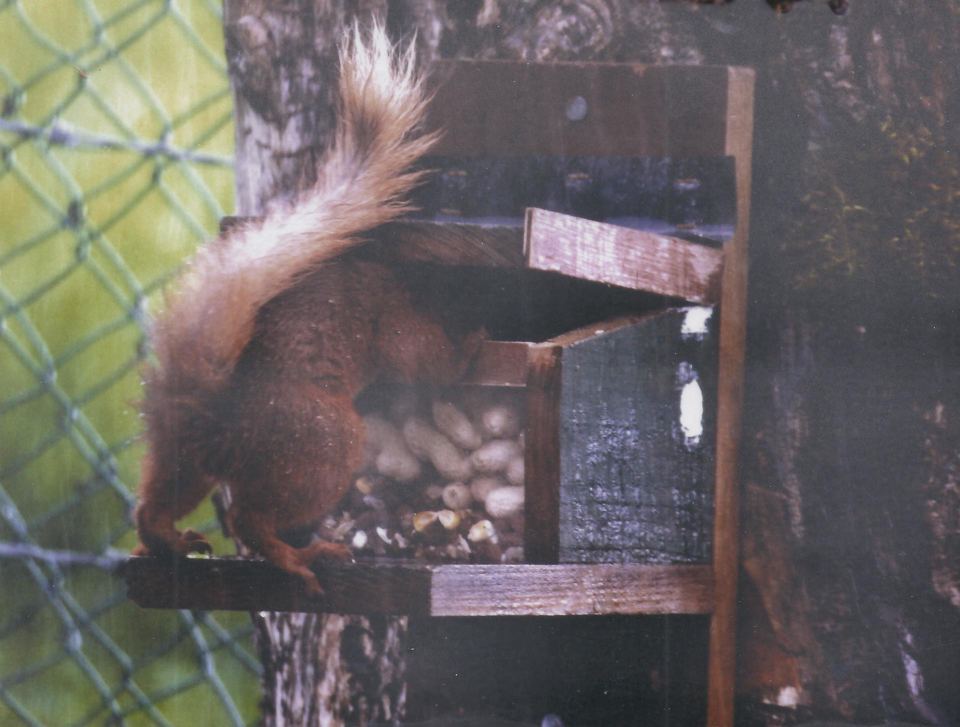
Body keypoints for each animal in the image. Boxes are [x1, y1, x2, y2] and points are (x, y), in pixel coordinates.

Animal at [133, 25, 483, 596]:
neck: (402, 272)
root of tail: (214, 416)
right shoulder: (396, 316)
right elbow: (423, 359)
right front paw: (473, 344)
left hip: (184, 462)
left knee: (155, 506)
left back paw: (167, 541)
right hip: (324, 446)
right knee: (250, 518)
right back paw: (297, 557)